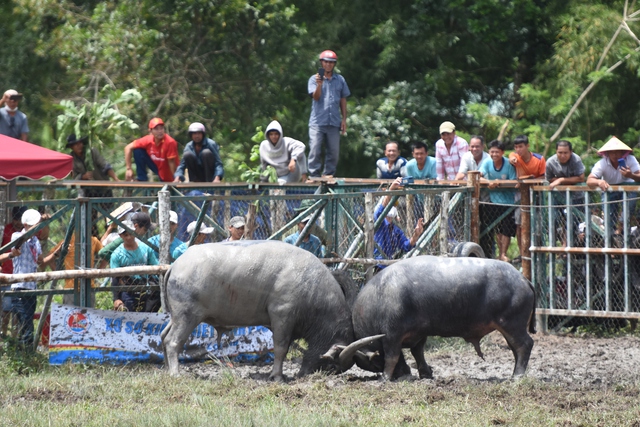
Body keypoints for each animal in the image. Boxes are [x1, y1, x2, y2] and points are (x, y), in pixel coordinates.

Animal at [162, 241, 378, 382]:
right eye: (332, 365)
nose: (304, 374)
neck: (311, 287)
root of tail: (176, 265)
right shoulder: (282, 316)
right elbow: (281, 348)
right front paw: (277, 376)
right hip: (187, 317)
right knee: (173, 342)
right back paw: (175, 373)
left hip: (175, 317)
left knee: (164, 337)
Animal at [336, 256, 536, 382]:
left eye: (375, 362)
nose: (404, 372)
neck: (379, 296)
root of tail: (523, 280)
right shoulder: (418, 333)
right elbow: (418, 353)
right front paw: (426, 374)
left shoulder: (392, 335)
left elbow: (392, 356)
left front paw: (385, 378)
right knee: (516, 349)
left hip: (512, 325)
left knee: (524, 345)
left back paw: (516, 377)